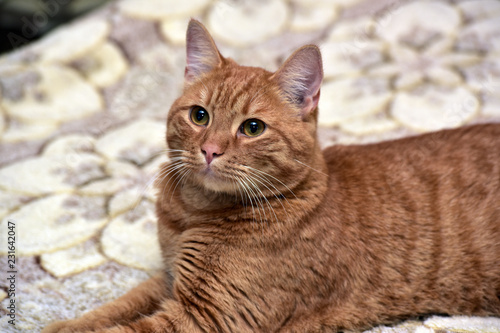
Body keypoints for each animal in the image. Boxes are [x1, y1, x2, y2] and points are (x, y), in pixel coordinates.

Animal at [44, 19, 500, 332]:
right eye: (199, 116)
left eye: (252, 128)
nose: (210, 150)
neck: (193, 214)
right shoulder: (169, 280)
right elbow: (113, 308)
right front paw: (65, 324)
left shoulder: (206, 316)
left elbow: (119, 329)